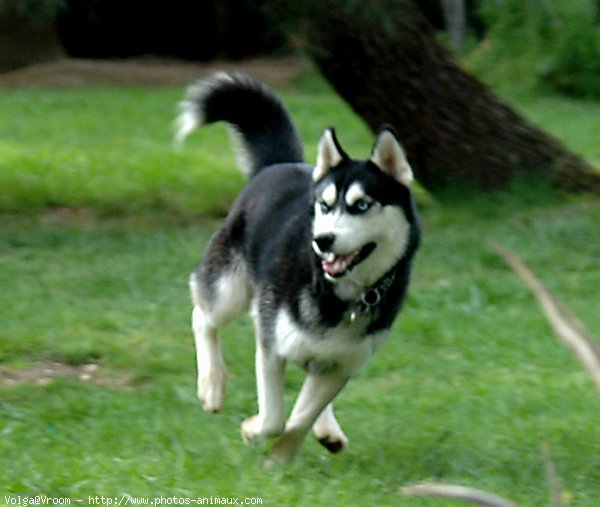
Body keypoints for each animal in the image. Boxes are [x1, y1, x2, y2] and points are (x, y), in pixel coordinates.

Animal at [177, 71, 422, 464]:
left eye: (362, 205)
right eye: (324, 205)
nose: (322, 240)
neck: (339, 296)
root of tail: (277, 165)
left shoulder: (342, 365)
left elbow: (300, 418)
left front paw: (281, 458)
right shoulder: (271, 346)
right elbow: (275, 418)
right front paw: (254, 430)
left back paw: (327, 428)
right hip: (229, 290)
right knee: (202, 317)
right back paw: (212, 385)